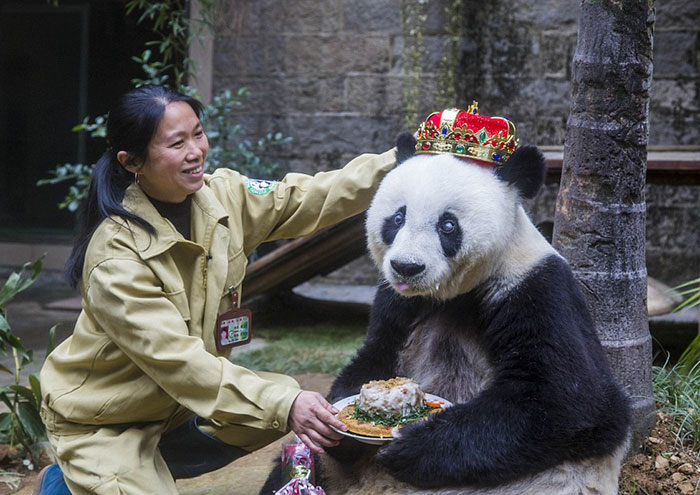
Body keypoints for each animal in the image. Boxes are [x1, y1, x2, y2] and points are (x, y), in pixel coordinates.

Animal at [318, 133, 636, 495]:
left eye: (448, 225)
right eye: (397, 219)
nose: (407, 267)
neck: (451, 294)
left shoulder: (536, 290)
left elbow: (572, 401)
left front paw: (413, 445)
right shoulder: (397, 301)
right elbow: (377, 353)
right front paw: (338, 427)